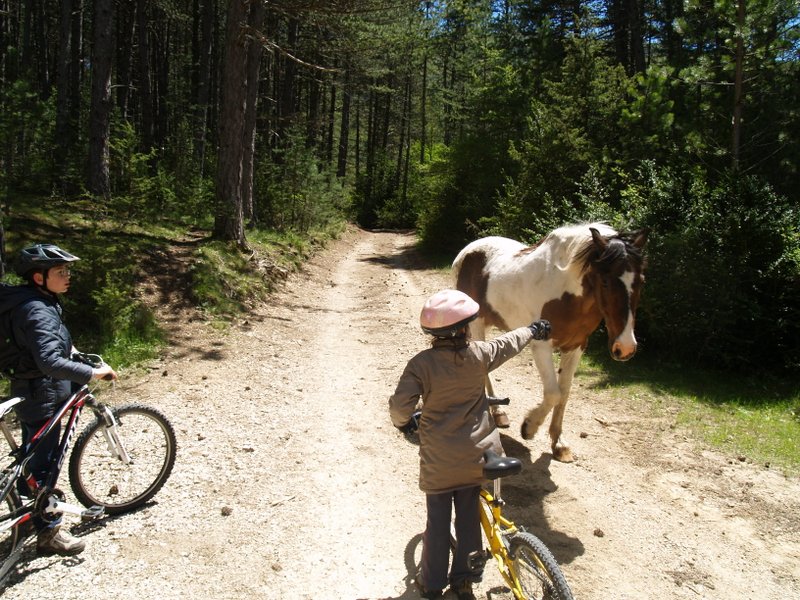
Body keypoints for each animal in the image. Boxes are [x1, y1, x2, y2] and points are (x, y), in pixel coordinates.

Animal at [454, 223, 648, 462]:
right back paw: (498, 413)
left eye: (641, 281)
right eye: (605, 280)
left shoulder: (576, 347)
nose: (626, 347)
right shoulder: (542, 345)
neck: (567, 293)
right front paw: (529, 427)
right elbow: (553, 393)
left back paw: (499, 414)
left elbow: (564, 393)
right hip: (476, 324)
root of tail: (467, 251)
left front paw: (559, 444)